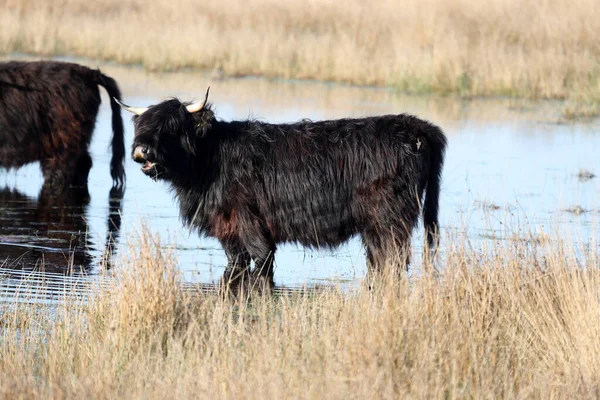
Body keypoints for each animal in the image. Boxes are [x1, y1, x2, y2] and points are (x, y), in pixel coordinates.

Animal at [117, 89, 446, 286]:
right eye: (141, 126)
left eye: (172, 127)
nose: (142, 151)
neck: (209, 161)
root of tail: (417, 127)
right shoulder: (228, 230)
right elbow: (236, 265)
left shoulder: (250, 221)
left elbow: (263, 260)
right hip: (376, 227)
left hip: (390, 219)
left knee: (395, 260)